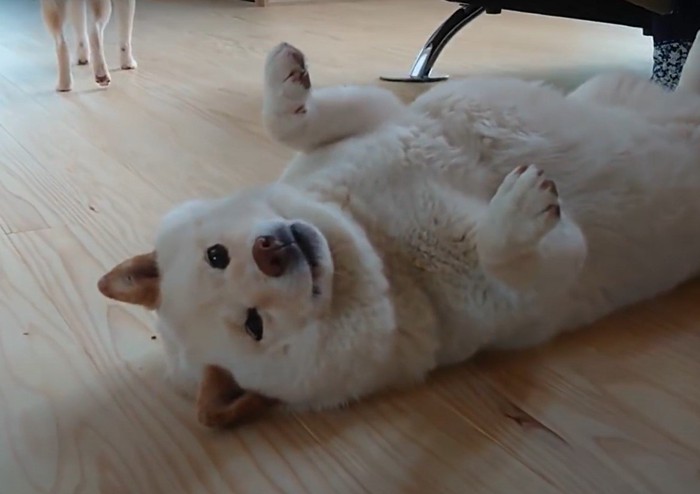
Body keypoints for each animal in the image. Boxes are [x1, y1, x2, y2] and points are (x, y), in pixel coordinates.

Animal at [97, 37, 700, 424]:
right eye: (254, 325)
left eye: (217, 255)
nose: (270, 251)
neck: (376, 235)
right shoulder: (547, 275)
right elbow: (506, 251)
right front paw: (518, 211)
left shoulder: (375, 118)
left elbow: (288, 123)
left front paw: (286, 78)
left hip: (614, 91)